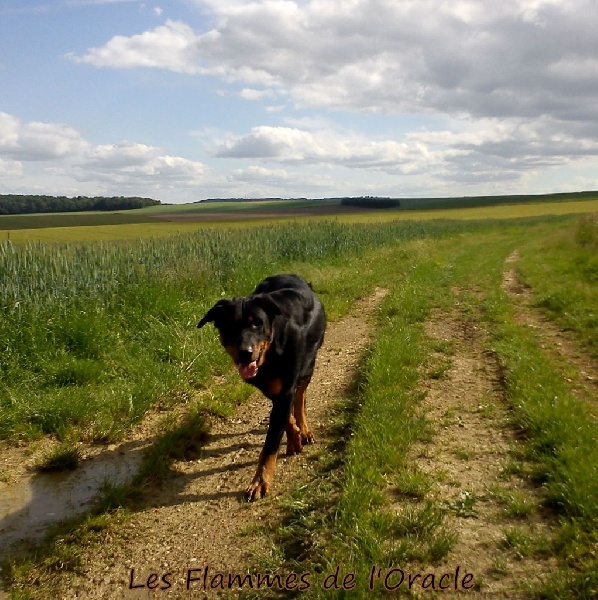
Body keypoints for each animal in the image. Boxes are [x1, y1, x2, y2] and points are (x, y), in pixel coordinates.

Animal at [199, 274, 326, 500]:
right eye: (229, 326)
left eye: (257, 324)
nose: (245, 352)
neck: (272, 351)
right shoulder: (270, 387)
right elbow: (283, 419)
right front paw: (293, 438)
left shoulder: (287, 386)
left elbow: (270, 443)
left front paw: (259, 482)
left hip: (309, 363)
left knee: (301, 396)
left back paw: (305, 430)